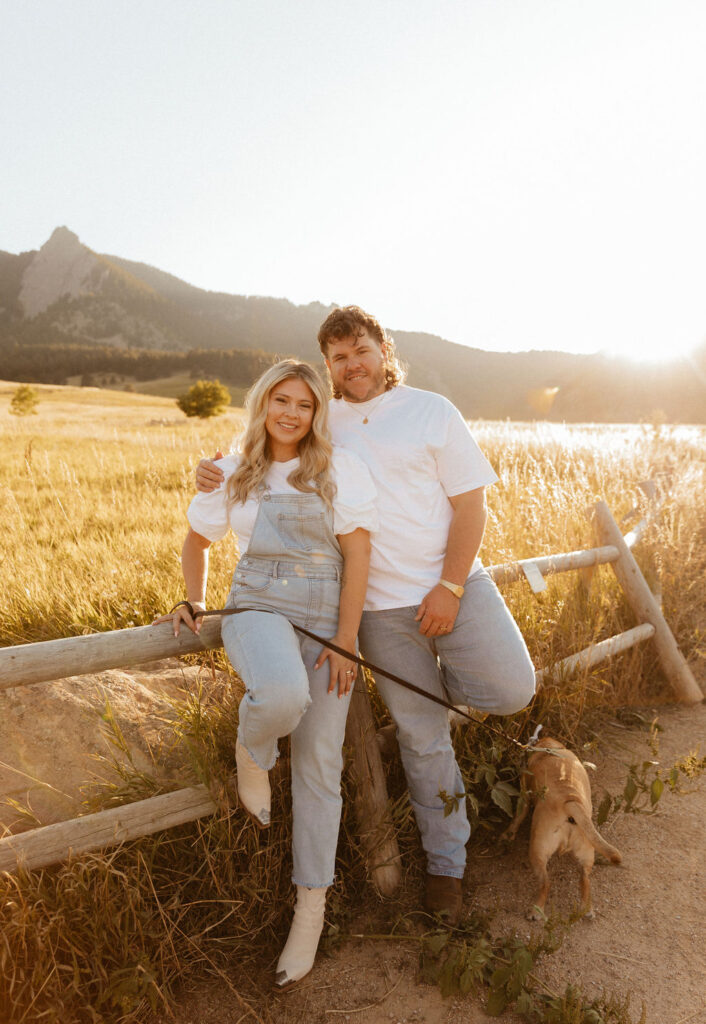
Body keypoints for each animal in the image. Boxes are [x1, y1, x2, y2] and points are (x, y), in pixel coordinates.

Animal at [502, 737, 623, 921]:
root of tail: (570, 801)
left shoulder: (524, 796)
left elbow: (518, 816)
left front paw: (508, 834)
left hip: (538, 850)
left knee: (546, 883)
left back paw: (536, 910)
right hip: (586, 851)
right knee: (585, 879)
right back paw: (587, 908)